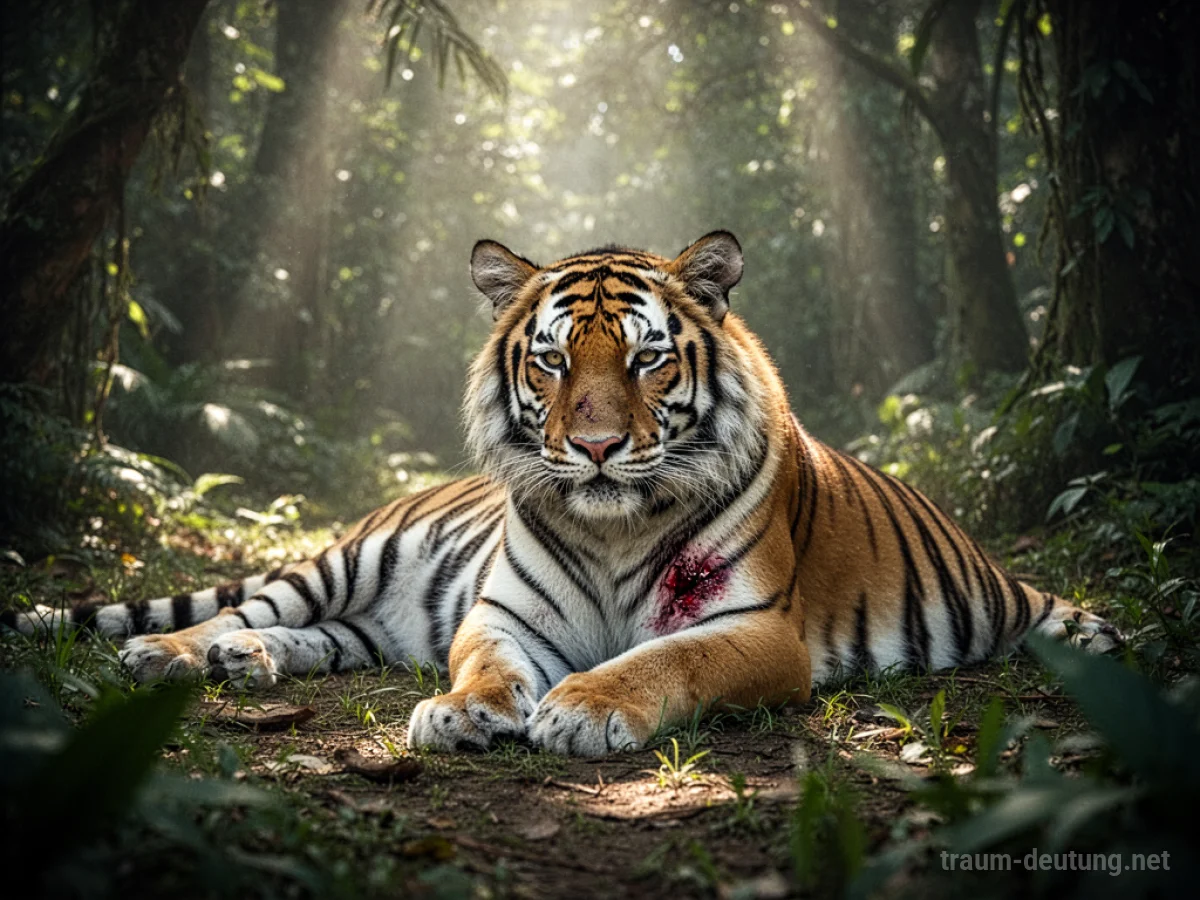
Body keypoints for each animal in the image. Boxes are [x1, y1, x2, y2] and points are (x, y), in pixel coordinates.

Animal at [5, 231, 1122, 755]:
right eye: (550, 362)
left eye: (646, 361)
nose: (590, 447)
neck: (614, 531)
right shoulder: (504, 615)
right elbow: (489, 667)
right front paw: (465, 714)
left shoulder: (758, 628)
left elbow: (666, 658)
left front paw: (582, 710)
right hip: (343, 563)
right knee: (244, 605)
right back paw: (176, 653)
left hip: (362, 624)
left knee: (308, 637)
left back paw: (252, 662)